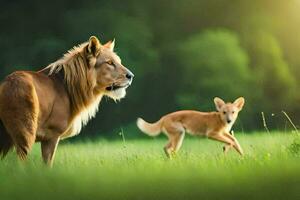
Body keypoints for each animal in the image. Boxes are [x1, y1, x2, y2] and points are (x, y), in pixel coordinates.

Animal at [0, 36, 132, 166]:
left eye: (119, 62)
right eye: (110, 63)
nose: (131, 76)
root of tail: (8, 82)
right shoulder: (51, 135)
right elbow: (47, 164)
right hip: (25, 132)